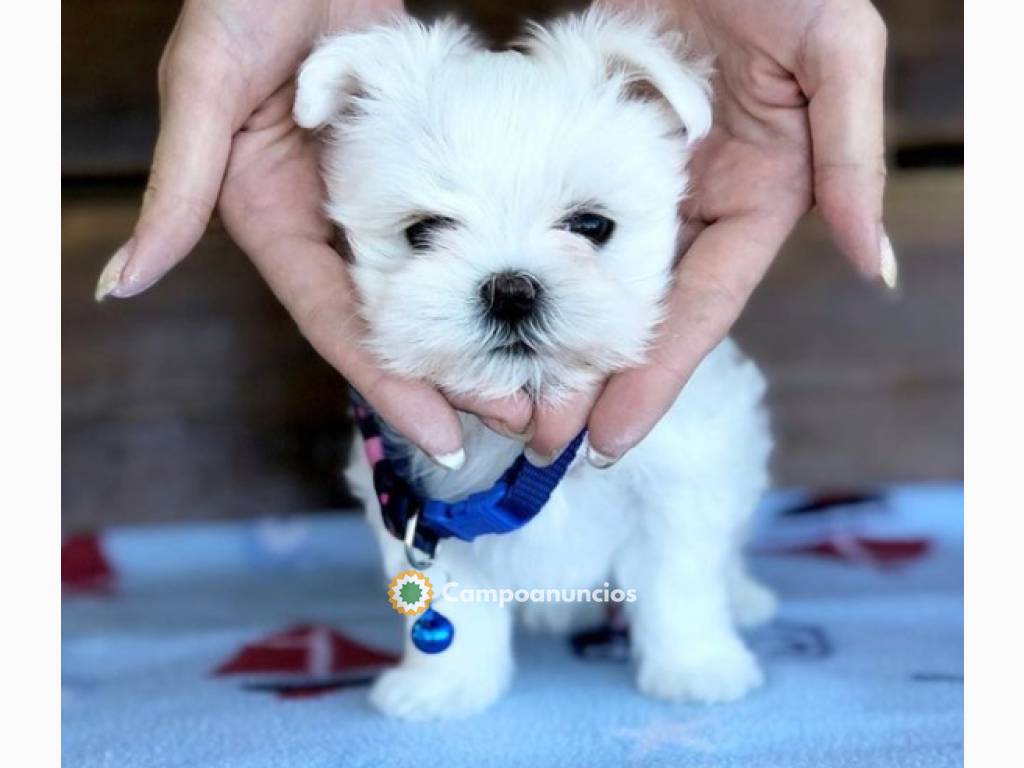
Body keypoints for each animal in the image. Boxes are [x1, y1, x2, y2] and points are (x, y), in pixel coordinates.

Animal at [292, 7, 770, 720]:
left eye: (592, 225)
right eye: (423, 230)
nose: (511, 289)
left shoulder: (680, 477)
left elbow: (678, 581)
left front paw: (697, 667)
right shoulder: (421, 502)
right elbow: (455, 604)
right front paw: (444, 686)